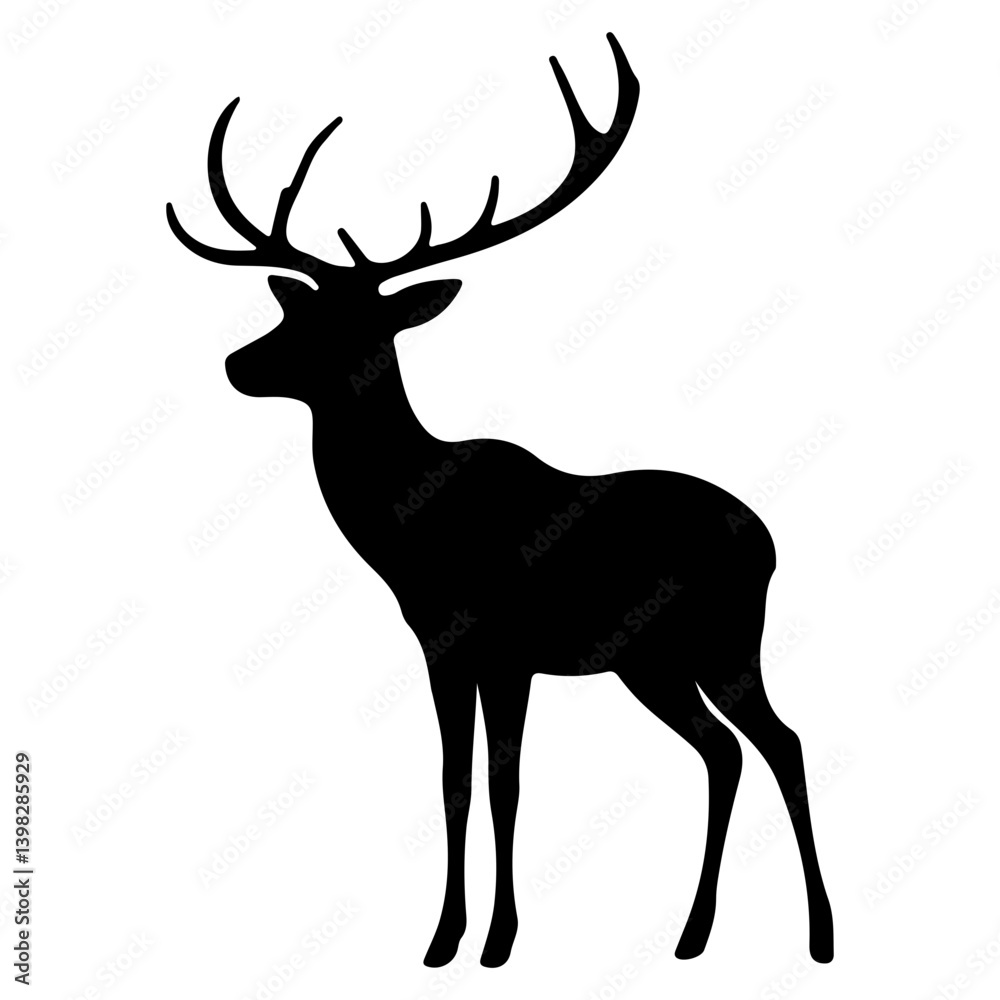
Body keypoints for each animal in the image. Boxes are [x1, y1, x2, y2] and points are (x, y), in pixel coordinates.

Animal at [166, 32, 833, 969]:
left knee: (783, 742)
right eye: (298, 313)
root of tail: (770, 538)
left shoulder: (508, 645)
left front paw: (499, 939)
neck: (407, 530)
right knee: (724, 753)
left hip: (726, 638)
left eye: (350, 326)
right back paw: (693, 934)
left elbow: (506, 781)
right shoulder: (442, 646)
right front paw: (443, 937)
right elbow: (453, 780)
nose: (237, 363)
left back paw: (819, 934)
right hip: (652, 662)